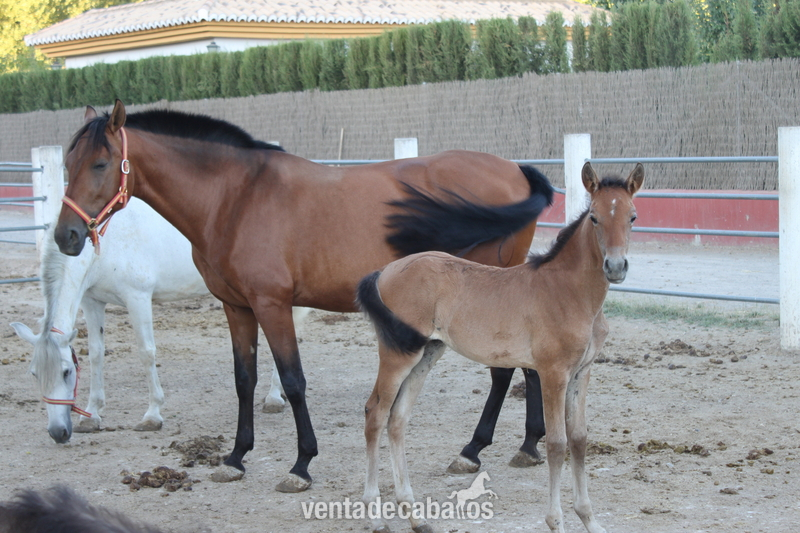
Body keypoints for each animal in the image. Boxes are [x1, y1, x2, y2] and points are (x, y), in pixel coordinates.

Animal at [10, 198, 209, 442]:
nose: (58, 433)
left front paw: (152, 415)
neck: (104, 248)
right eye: (34, 374)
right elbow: (96, 354)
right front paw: (91, 415)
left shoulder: (138, 298)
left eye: (66, 372)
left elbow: (146, 353)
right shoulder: (92, 301)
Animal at [53, 99, 553, 492]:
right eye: (66, 166)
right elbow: (245, 379)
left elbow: (292, 380)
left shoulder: (272, 305)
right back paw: (525, 444)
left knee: (505, 371)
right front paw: (236, 458)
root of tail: (514, 169)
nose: (66, 236)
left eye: (100, 164)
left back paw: (478, 449)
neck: (235, 198)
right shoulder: (236, 307)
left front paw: (301, 465)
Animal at [356, 162, 643, 533]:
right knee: (375, 414)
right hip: (397, 355)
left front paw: (590, 520)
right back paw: (376, 516)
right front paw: (556, 521)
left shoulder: (582, 372)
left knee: (398, 419)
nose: (616, 266)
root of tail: (384, 270)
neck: (570, 292)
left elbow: (579, 439)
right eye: (594, 217)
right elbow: (557, 443)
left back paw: (416, 516)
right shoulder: (553, 373)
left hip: (427, 353)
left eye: (632, 216)